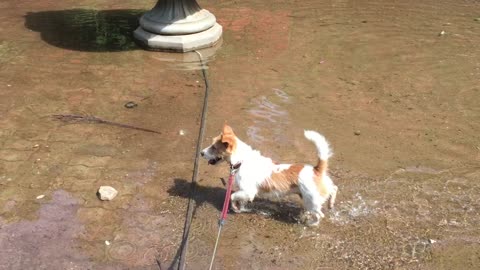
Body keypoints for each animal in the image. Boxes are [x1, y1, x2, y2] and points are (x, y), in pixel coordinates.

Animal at [200, 124, 338, 226]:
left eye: (214, 147)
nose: (201, 153)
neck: (242, 160)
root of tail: (316, 170)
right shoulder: (245, 192)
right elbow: (240, 198)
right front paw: (241, 207)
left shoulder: (248, 191)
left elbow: (232, 196)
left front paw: (236, 208)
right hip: (313, 195)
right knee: (334, 188)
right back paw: (330, 204)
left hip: (311, 201)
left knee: (320, 215)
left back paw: (311, 223)